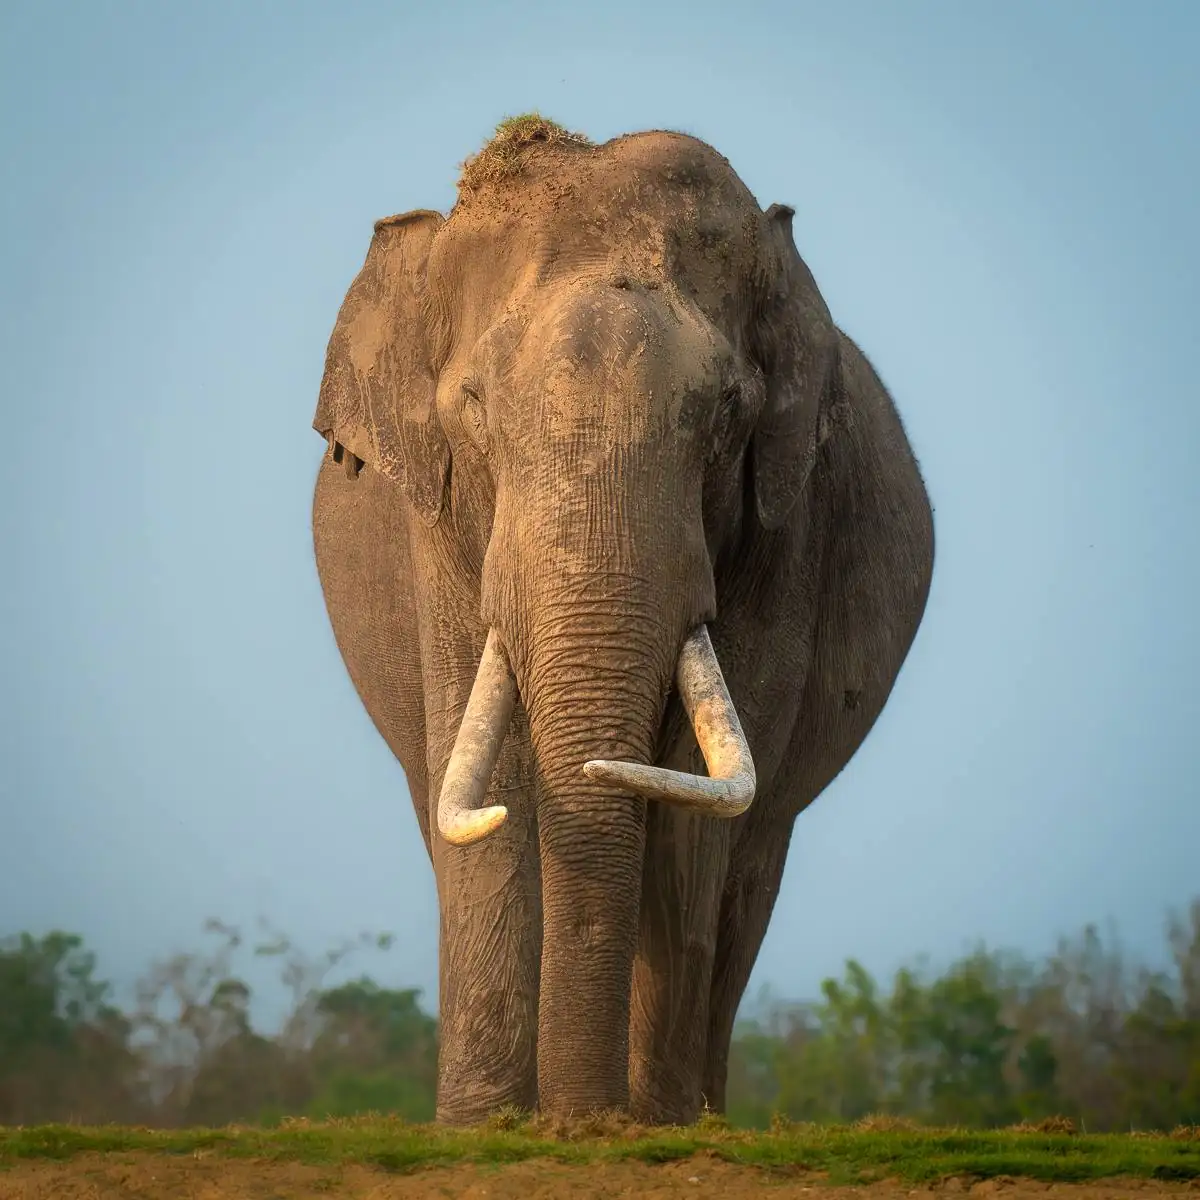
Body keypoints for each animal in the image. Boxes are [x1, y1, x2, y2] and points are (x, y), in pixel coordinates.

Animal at [310, 123, 934, 1125]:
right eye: (472, 408)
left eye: (726, 414)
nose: (580, 1124)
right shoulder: (434, 528)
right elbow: (495, 781)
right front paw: (482, 1128)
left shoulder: (786, 527)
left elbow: (690, 792)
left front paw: (649, 1125)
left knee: (751, 865)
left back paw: (698, 1113)